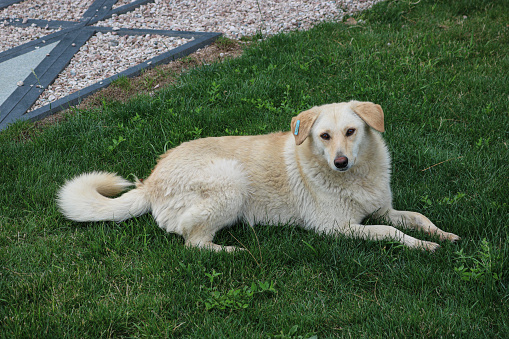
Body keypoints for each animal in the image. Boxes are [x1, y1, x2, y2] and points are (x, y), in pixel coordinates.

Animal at [56, 101, 460, 252]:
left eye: (350, 131)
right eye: (324, 136)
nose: (341, 162)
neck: (355, 178)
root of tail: (151, 182)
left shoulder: (381, 209)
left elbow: (417, 217)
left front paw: (442, 235)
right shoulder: (337, 228)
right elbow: (392, 233)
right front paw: (423, 247)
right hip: (231, 180)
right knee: (193, 242)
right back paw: (231, 250)